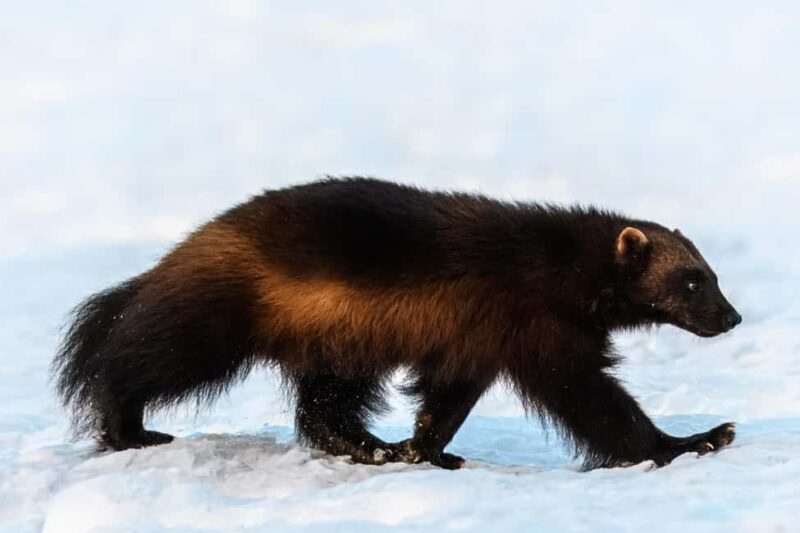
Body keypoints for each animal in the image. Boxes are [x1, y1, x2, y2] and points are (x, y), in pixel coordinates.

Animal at [53, 177, 742, 470]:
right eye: (692, 280)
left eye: (711, 272)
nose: (732, 316)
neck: (559, 264)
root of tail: (185, 249)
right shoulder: (536, 327)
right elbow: (595, 401)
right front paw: (693, 440)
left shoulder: (475, 343)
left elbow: (445, 403)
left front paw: (424, 451)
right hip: (218, 318)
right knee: (137, 357)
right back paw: (128, 428)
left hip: (335, 342)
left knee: (323, 408)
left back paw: (371, 446)